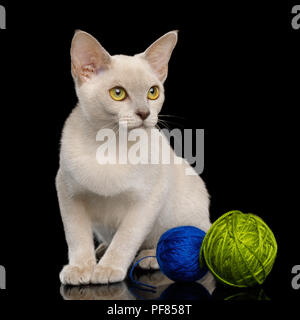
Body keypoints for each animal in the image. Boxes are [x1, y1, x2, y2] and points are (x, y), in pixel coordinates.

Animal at [56, 30, 211, 284]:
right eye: (117, 93)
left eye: (152, 92)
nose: (144, 113)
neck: (110, 145)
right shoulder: (68, 192)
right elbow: (76, 236)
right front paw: (80, 268)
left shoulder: (147, 200)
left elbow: (126, 238)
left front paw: (108, 269)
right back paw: (101, 250)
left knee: (193, 240)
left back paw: (151, 257)